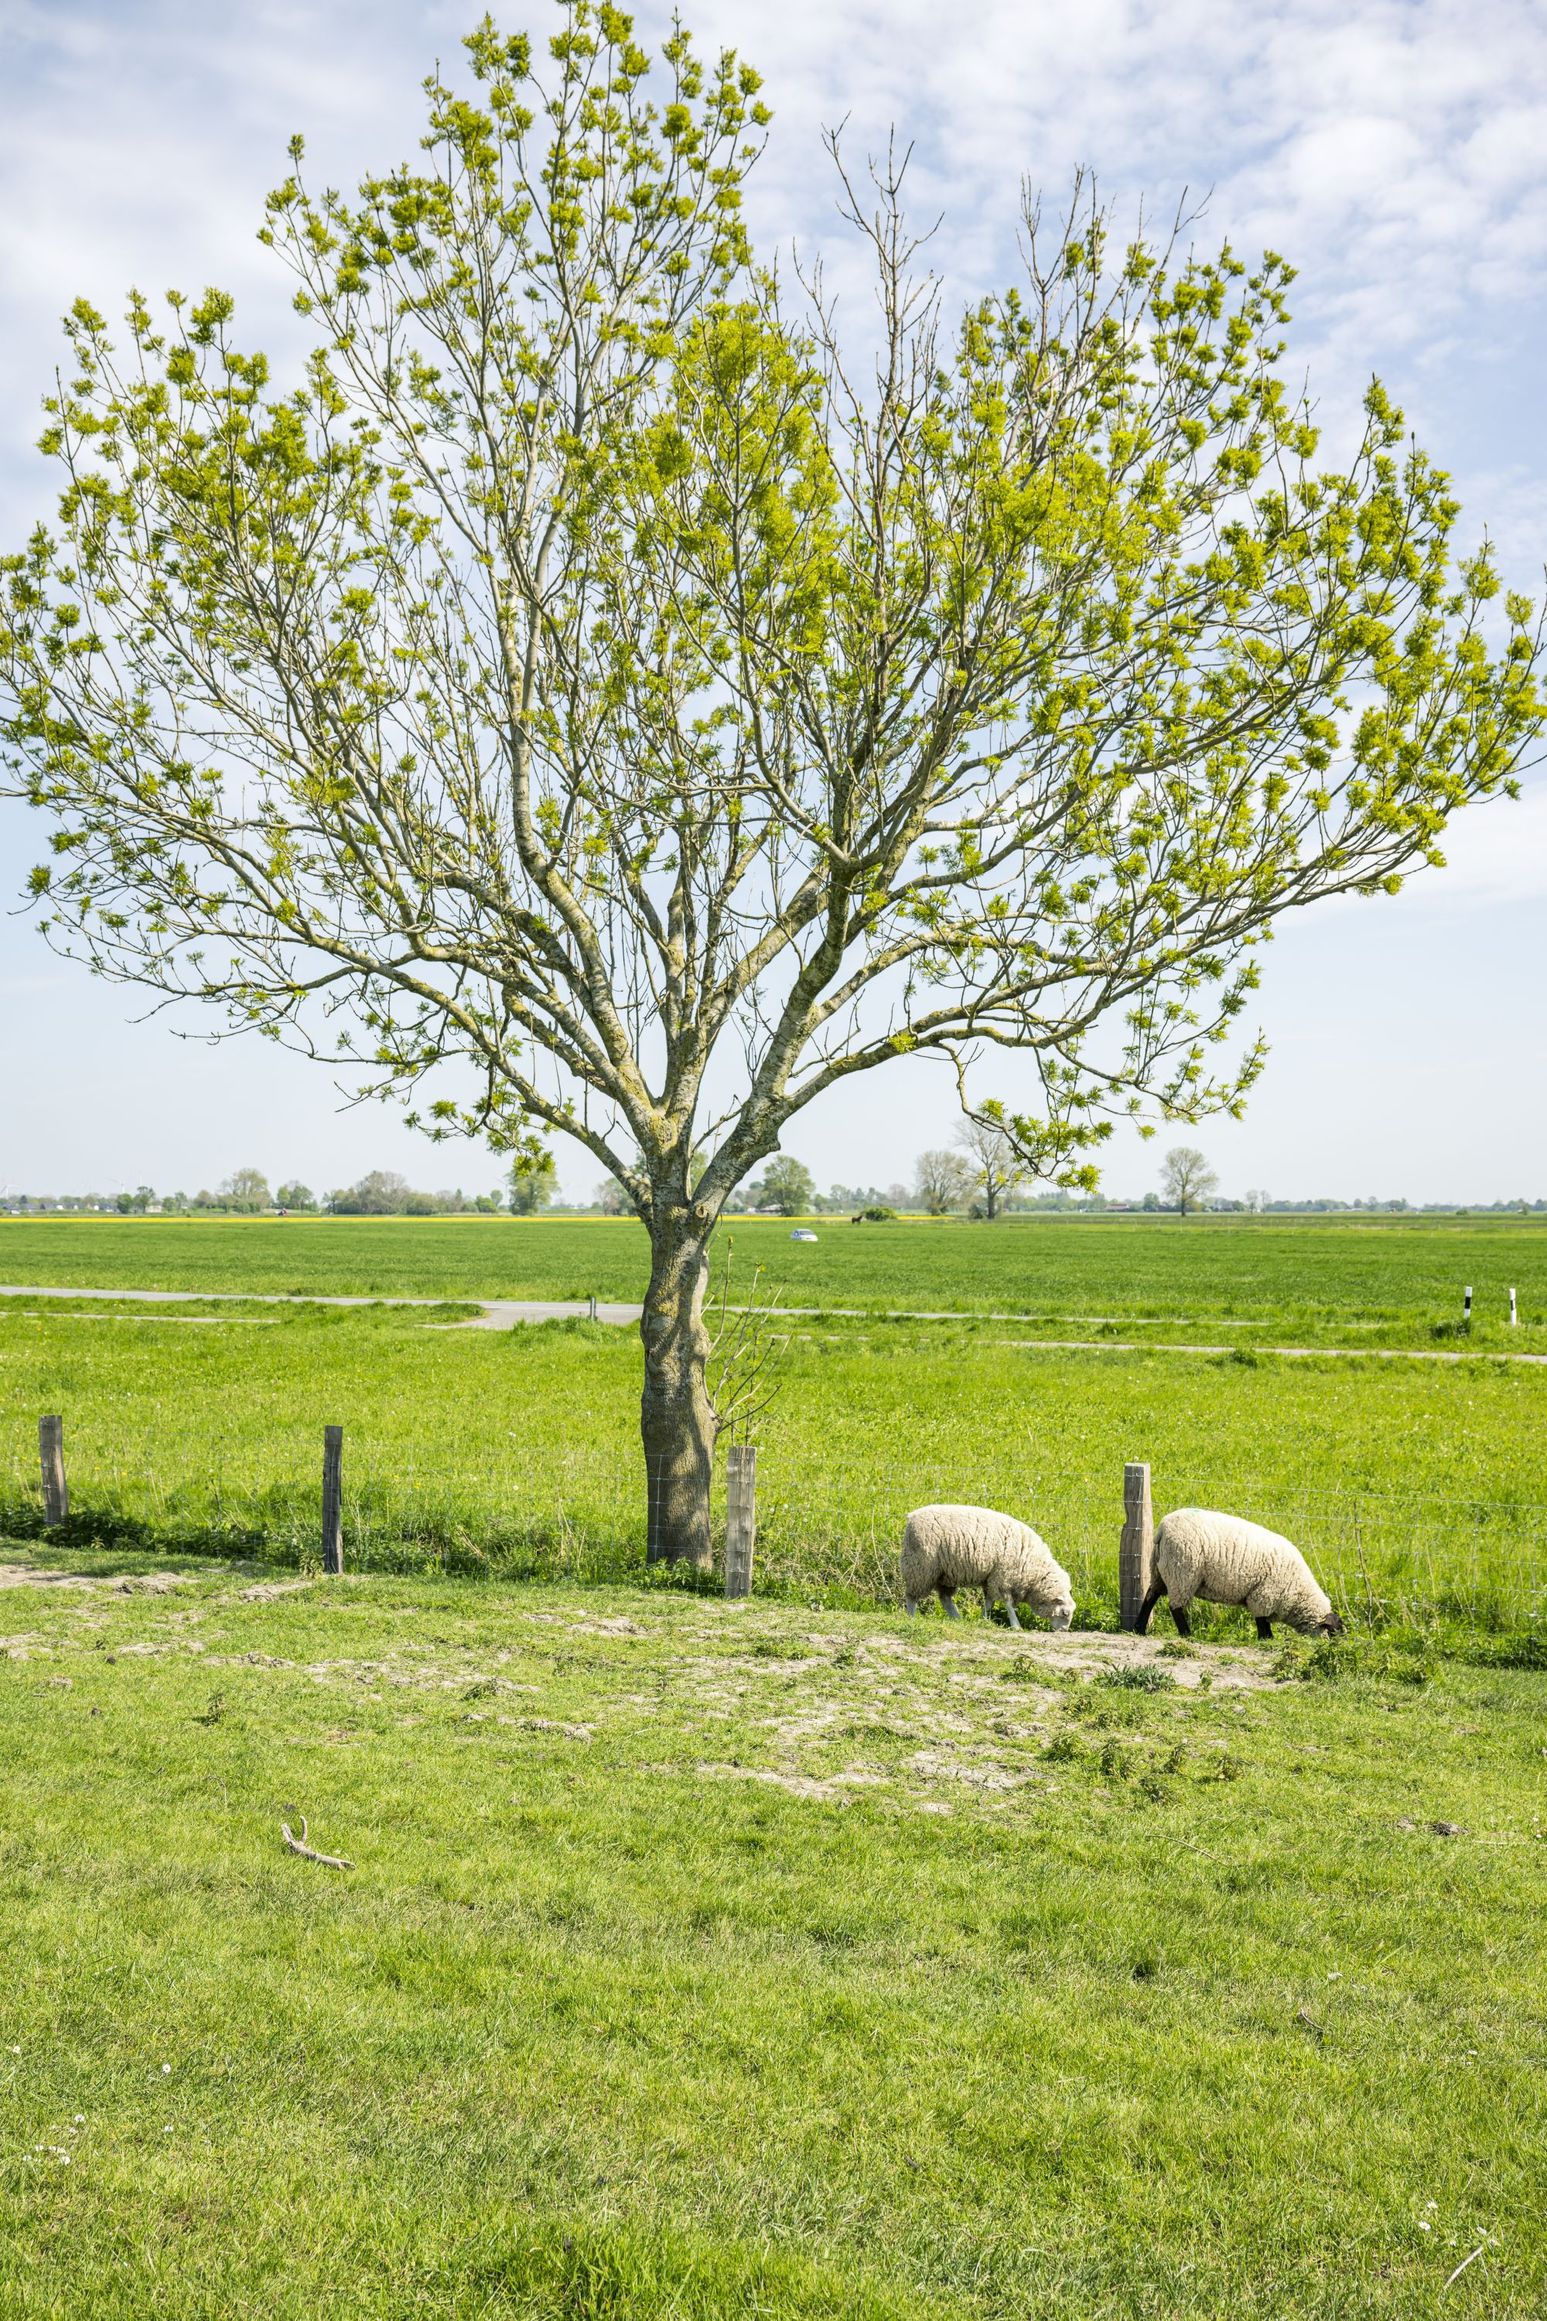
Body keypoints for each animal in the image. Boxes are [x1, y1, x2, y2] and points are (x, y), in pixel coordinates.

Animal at [900, 1504, 1075, 1631]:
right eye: (1065, 1613)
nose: (1064, 1630)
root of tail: (912, 1516)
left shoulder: (991, 1578)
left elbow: (989, 1601)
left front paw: (983, 1618)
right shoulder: (1003, 1577)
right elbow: (1008, 1603)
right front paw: (1015, 1625)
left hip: (944, 1573)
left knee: (945, 1599)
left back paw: (957, 1618)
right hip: (920, 1567)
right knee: (912, 1596)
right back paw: (911, 1616)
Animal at [1138, 1508, 1345, 1641]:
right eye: (1333, 1632)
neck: (1298, 1593)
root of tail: (1163, 1528)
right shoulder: (1264, 1595)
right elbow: (1262, 1622)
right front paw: (1267, 1640)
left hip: (1160, 1569)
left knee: (1150, 1595)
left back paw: (1139, 1628)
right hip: (1182, 1572)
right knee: (1176, 1606)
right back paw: (1186, 1633)